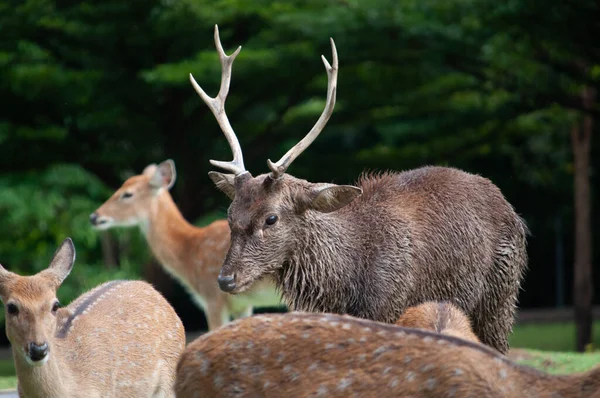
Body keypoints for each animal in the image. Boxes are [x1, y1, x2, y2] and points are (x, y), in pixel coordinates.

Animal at [190, 25, 528, 352]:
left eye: (271, 218)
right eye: (230, 215)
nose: (225, 279)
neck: (346, 284)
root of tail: (511, 208)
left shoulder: (389, 305)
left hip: (501, 295)